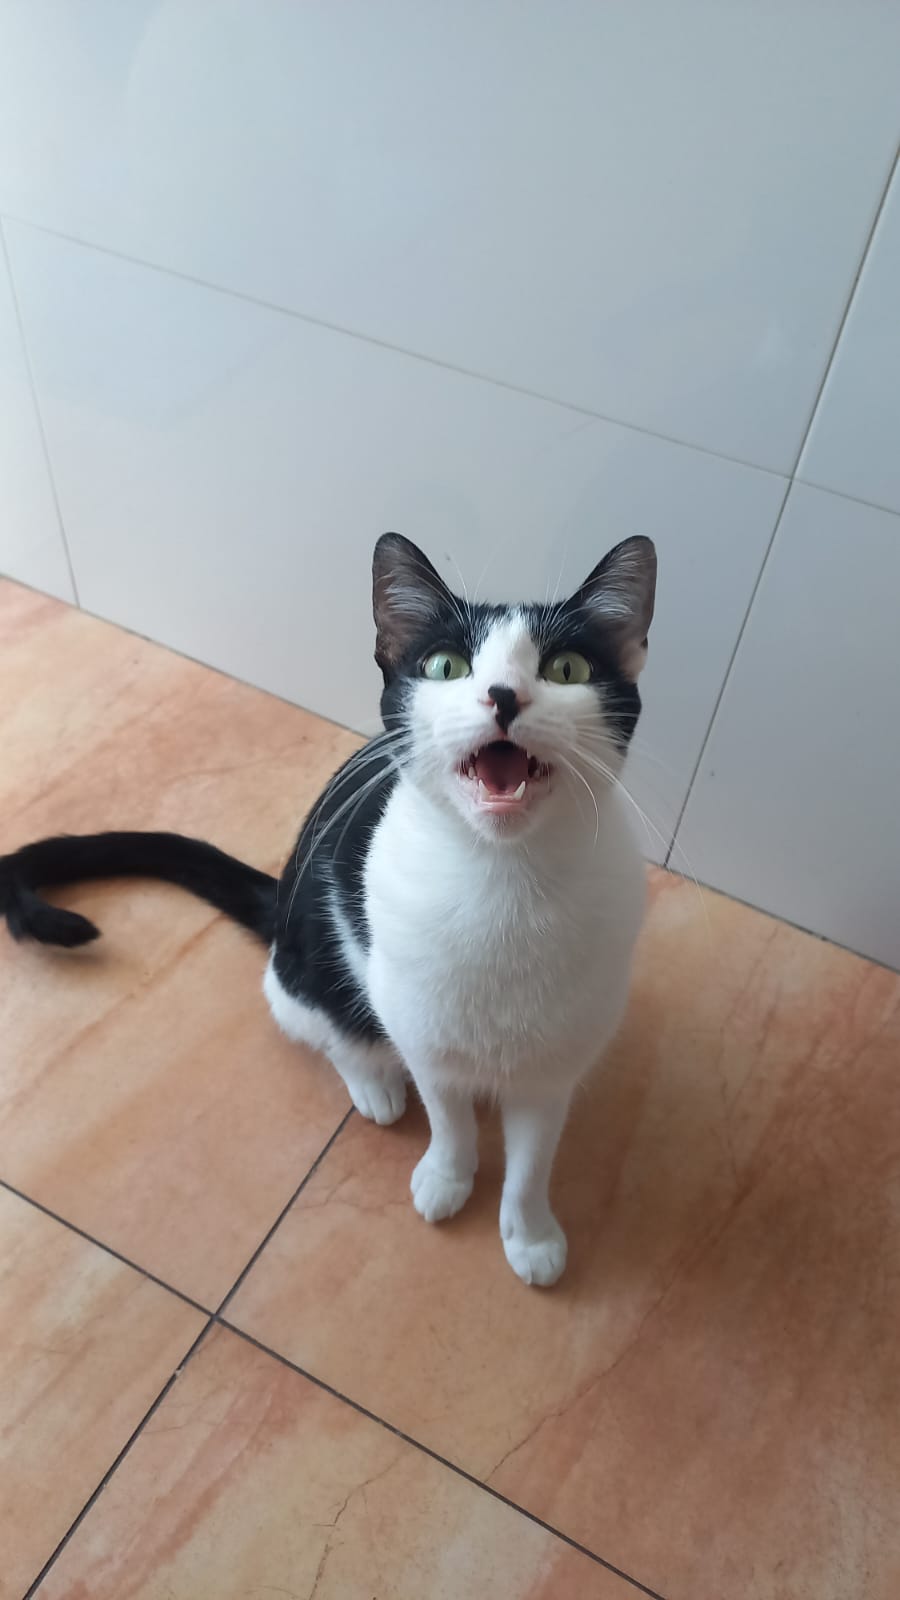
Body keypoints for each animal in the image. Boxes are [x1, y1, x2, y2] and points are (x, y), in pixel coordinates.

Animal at [0, 531, 656, 1286]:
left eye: (567, 668)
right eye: (447, 665)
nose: (503, 695)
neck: (504, 880)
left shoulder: (555, 1066)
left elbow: (533, 1157)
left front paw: (531, 1234)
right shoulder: (422, 1037)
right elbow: (449, 1117)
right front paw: (447, 1176)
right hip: (310, 969)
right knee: (322, 1023)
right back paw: (373, 1083)